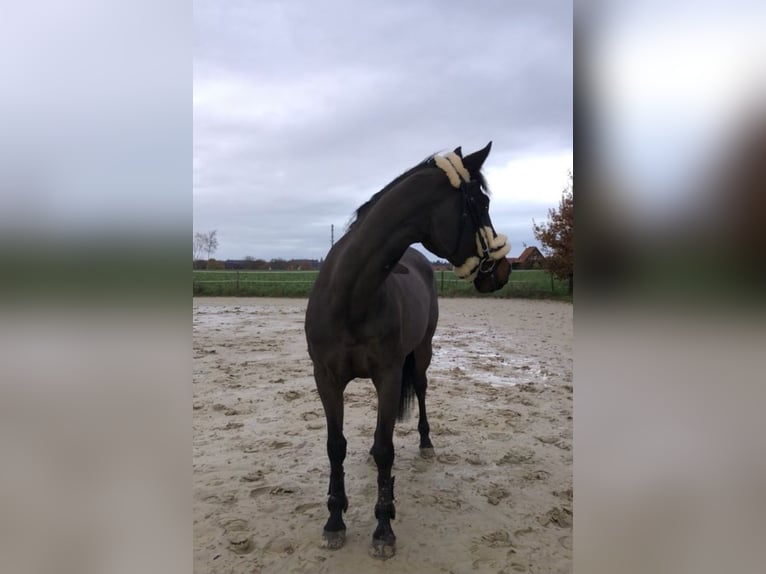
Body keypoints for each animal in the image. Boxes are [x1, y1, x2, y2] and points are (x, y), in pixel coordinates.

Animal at [304, 142, 511, 559]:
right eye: (480, 204)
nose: (502, 272)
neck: (350, 296)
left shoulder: (388, 375)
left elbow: (387, 449)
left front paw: (383, 528)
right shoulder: (326, 379)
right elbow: (336, 446)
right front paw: (335, 520)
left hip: (421, 355)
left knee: (421, 390)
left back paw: (426, 443)